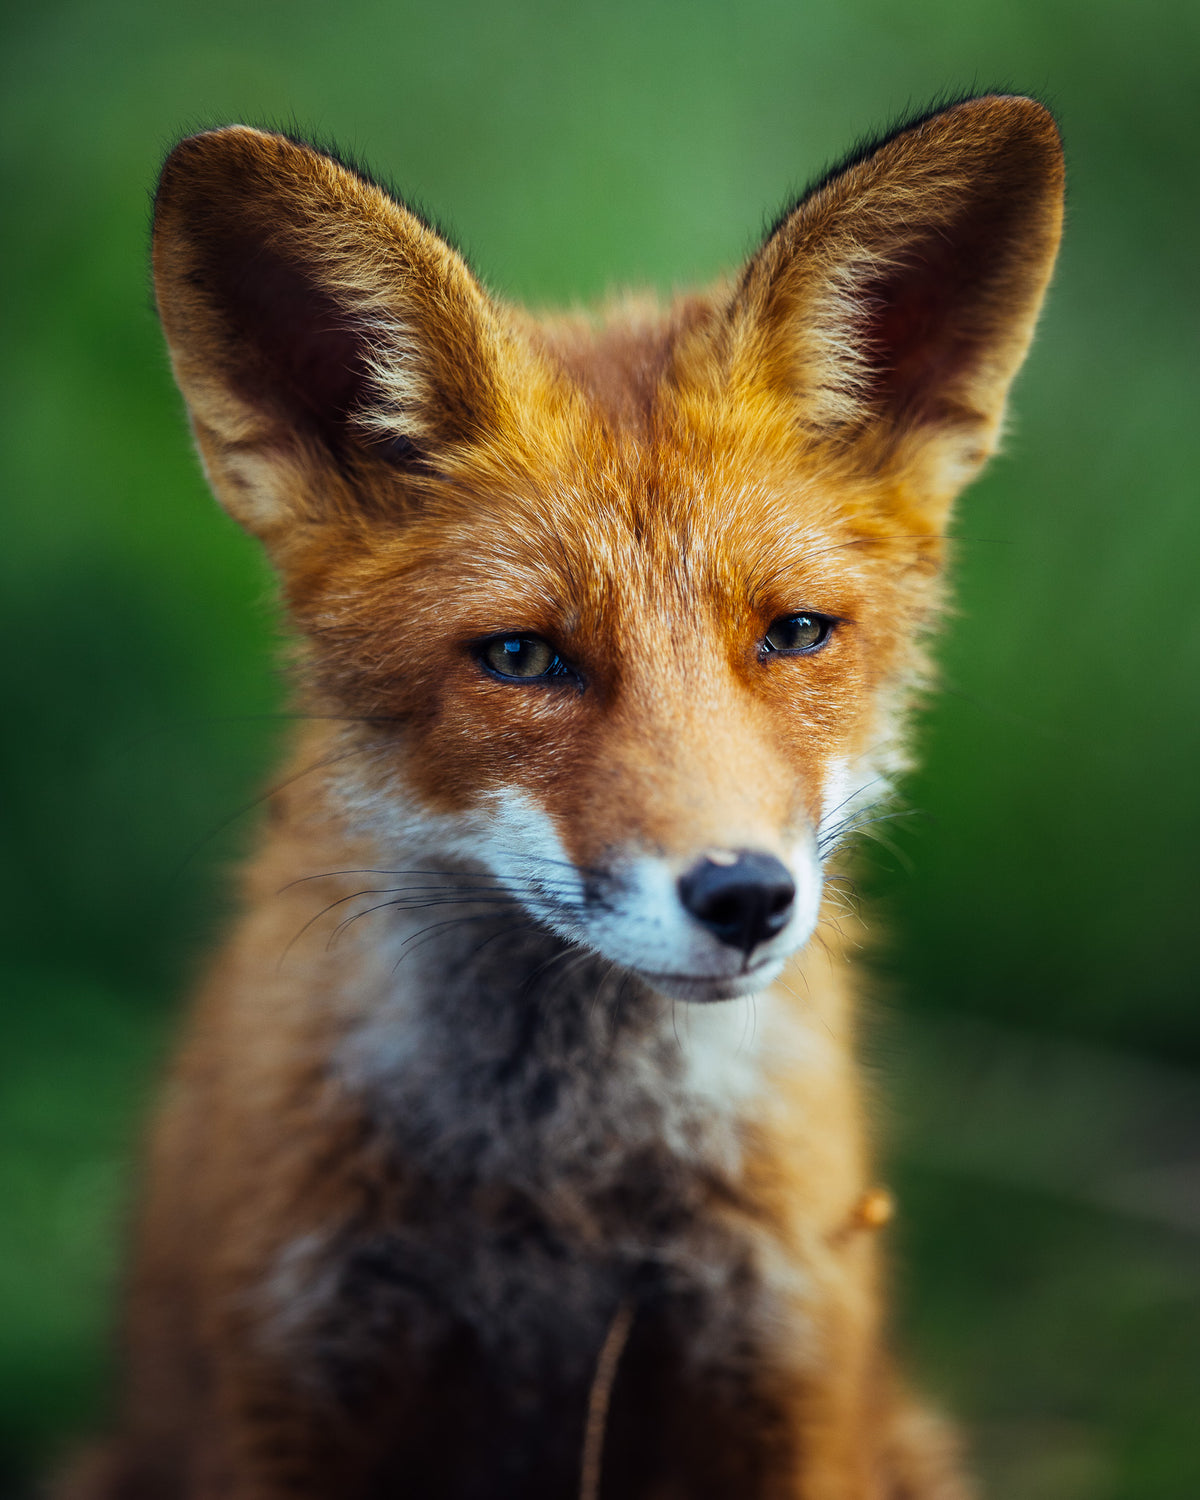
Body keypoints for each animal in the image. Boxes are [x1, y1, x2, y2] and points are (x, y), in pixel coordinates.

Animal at [62, 94, 1063, 1499]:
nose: (745, 898)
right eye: (525, 658)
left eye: (796, 634)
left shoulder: (778, 1372)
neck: (561, 1198)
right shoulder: (287, 1383)